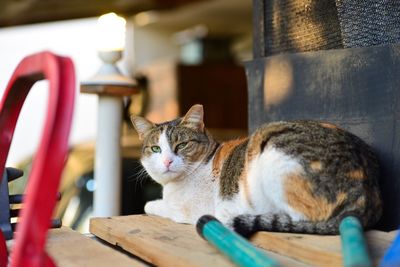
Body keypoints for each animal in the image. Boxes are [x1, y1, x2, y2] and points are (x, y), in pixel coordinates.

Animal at [130, 104, 382, 237]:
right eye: (155, 149)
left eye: (181, 145)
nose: (167, 161)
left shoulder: (188, 210)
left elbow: (154, 206)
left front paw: (153, 204)